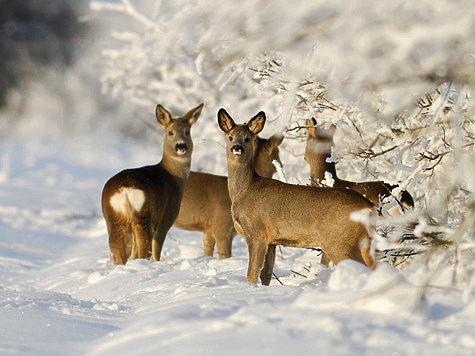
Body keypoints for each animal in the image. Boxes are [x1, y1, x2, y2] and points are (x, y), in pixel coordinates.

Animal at [102, 103, 203, 264]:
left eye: (187, 132)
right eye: (170, 132)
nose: (181, 146)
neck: (173, 176)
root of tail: (124, 189)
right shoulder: (167, 216)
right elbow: (157, 249)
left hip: (113, 218)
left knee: (119, 250)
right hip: (144, 215)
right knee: (145, 247)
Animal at [218, 108, 378, 286]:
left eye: (247, 138)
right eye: (230, 137)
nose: (237, 147)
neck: (245, 190)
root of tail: (368, 207)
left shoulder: (257, 233)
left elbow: (252, 274)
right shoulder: (272, 241)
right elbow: (266, 275)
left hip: (339, 242)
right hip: (363, 242)